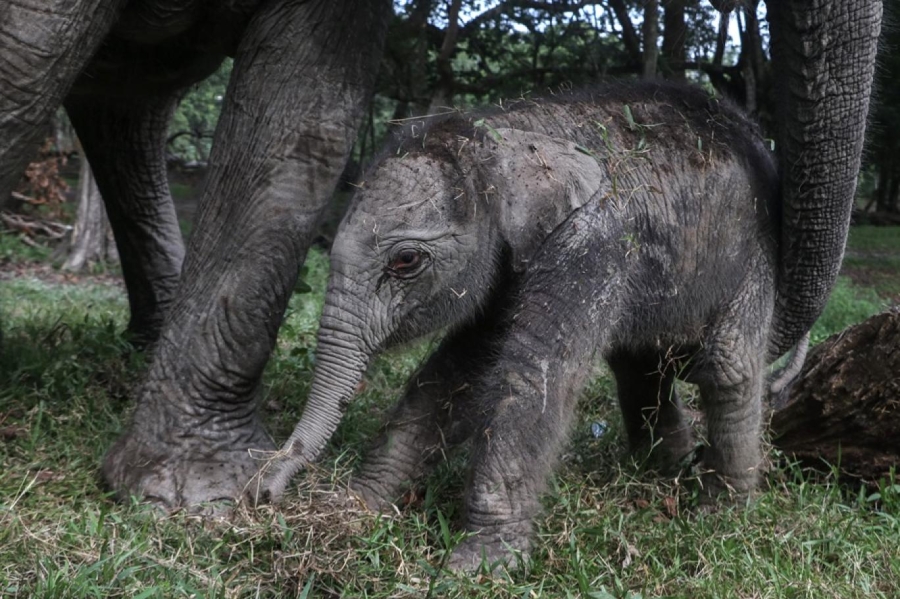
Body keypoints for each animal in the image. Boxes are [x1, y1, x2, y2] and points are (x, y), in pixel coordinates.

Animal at [258, 82, 788, 568]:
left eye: (406, 260)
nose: (262, 494)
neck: (508, 132)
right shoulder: (505, 267)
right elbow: (456, 374)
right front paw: (359, 506)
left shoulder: (595, 239)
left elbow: (532, 376)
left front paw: (478, 568)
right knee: (640, 366)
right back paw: (664, 471)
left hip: (756, 252)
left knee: (729, 364)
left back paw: (722, 515)